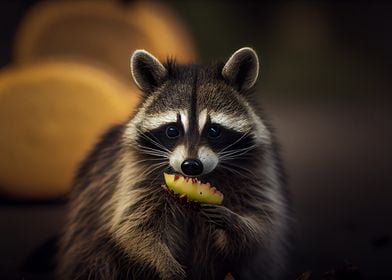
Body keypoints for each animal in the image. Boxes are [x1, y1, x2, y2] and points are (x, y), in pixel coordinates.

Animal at [57, 47, 290, 278]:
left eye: (214, 130)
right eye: (172, 130)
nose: (191, 165)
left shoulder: (256, 170)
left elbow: (263, 226)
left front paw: (233, 221)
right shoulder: (133, 172)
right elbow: (134, 227)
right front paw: (164, 263)